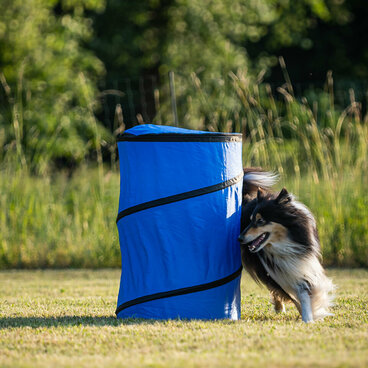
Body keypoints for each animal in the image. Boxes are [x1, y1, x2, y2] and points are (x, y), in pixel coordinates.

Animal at [237, 169, 334, 322]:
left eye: (260, 221)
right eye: (250, 220)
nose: (239, 238)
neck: (282, 244)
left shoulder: (299, 265)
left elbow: (303, 290)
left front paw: (309, 316)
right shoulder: (274, 270)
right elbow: (293, 294)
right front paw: (308, 316)